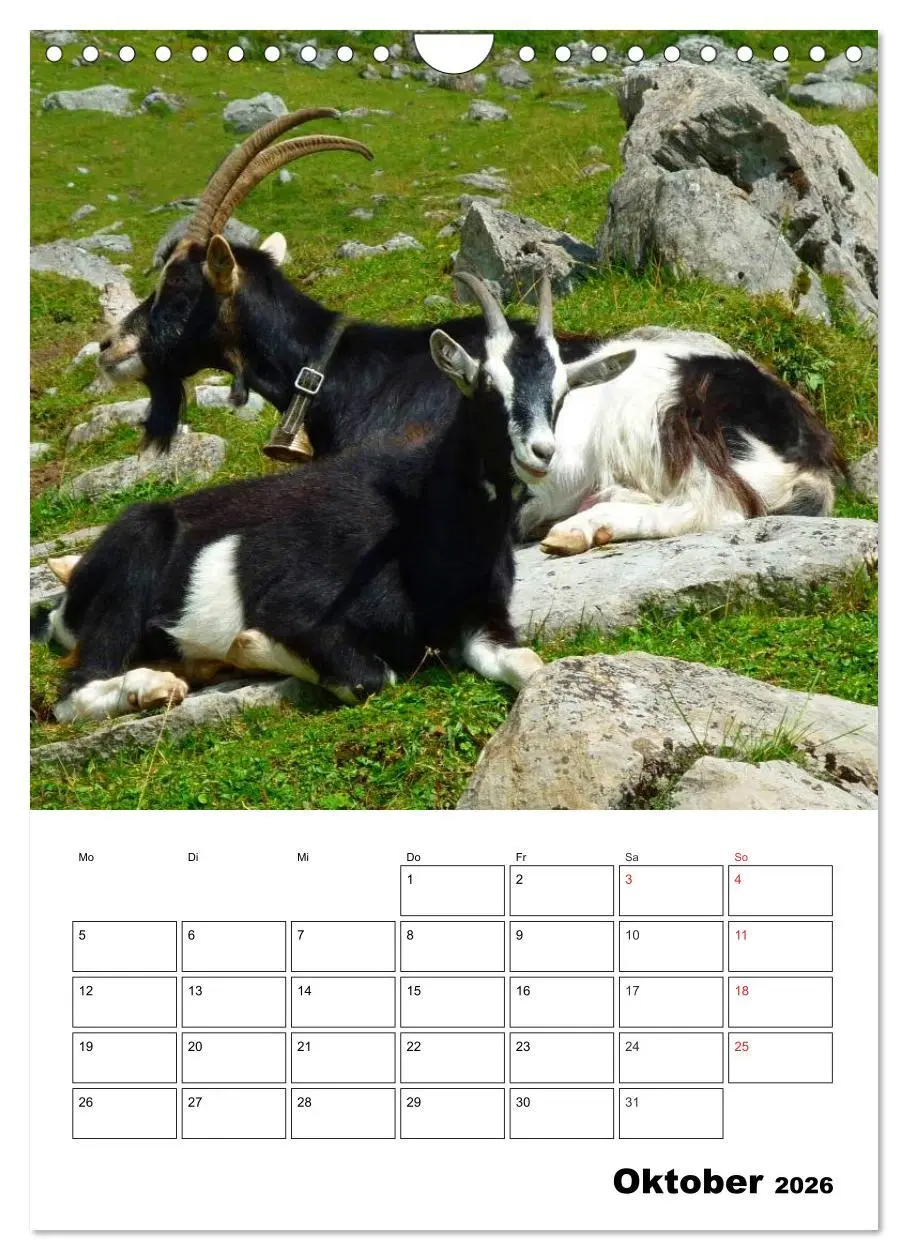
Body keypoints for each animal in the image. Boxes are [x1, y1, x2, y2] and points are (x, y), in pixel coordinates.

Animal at [39, 275, 635, 723]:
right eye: (485, 385)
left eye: (562, 393)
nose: (540, 453)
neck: (423, 519)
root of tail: (66, 598)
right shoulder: (300, 614)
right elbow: (370, 677)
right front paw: (247, 648)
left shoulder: (479, 622)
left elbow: (532, 663)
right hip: (133, 565)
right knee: (73, 694)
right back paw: (155, 685)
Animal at [98, 105, 842, 552]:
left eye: (177, 288)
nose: (109, 347)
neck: (338, 369)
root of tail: (805, 439)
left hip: (661, 423)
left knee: (716, 505)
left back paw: (581, 526)